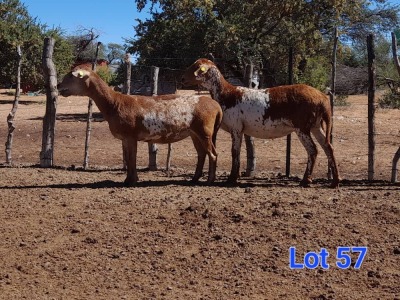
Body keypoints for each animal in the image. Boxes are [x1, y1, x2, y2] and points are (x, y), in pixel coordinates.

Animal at [57, 69, 223, 186]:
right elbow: (128, 158)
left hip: (204, 130)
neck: (114, 103)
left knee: (213, 154)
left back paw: (209, 180)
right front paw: (128, 180)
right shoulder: (125, 138)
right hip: (194, 133)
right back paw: (194, 179)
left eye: (71, 76)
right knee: (202, 154)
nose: (58, 85)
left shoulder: (131, 136)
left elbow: (132, 158)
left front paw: (132, 181)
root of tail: (216, 106)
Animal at [183, 58, 340, 188]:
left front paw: (232, 179)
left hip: (302, 127)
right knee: (328, 147)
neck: (226, 94)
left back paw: (306, 180)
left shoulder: (236, 128)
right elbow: (237, 152)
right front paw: (235, 177)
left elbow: (234, 152)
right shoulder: (240, 130)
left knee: (313, 150)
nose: (182, 77)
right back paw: (335, 182)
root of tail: (322, 98)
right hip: (315, 126)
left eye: (196, 67)